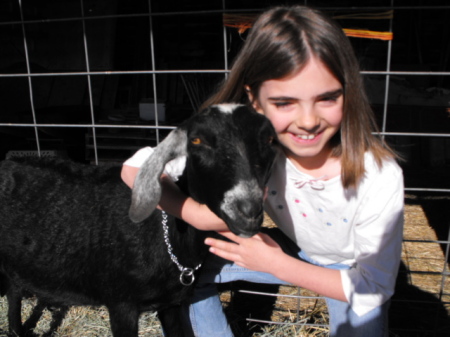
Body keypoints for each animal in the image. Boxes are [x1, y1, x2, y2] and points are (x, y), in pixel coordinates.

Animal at [0, 103, 278, 334]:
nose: (248, 210)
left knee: (14, 292)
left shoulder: (173, 303)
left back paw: (16, 330)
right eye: (197, 140)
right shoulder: (121, 303)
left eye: (269, 139)